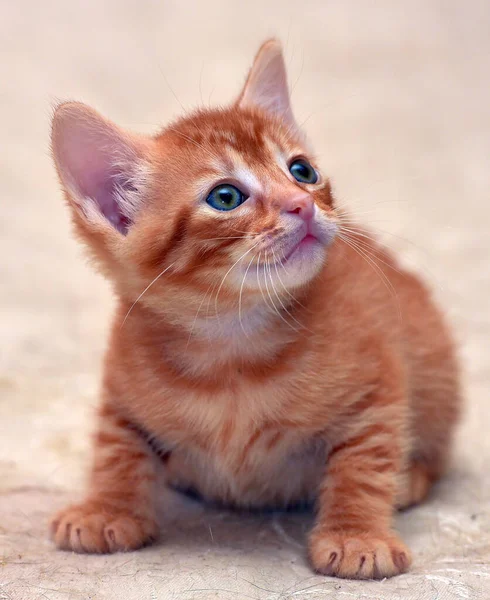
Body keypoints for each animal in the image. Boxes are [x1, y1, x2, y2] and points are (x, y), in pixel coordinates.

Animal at [50, 39, 464, 580]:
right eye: (226, 197)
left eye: (301, 171)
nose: (302, 205)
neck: (232, 347)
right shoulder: (122, 385)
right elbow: (115, 445)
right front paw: (105, 509)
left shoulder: (377, 388)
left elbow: (364, 464)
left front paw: (357, 534)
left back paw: (409, 479)